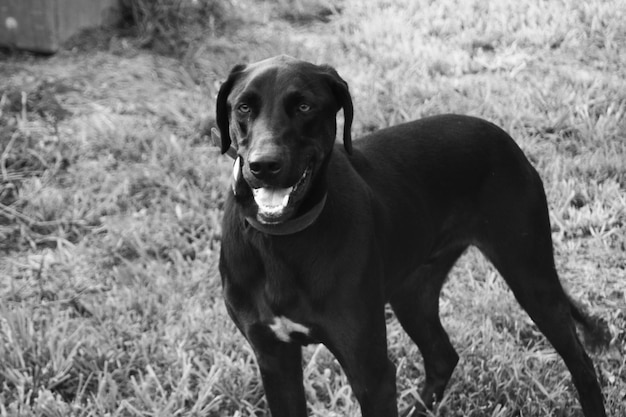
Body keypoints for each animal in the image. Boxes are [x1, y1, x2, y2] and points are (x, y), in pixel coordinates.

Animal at [213, 56, 604, 416]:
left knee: (582, 365)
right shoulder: (274, 360)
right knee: (443, 355)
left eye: (304, 106)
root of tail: (502, 136)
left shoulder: (370, 372)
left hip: (530, 276)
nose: (264, 165)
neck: (281, 239)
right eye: (244, 106)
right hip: (412, 293)